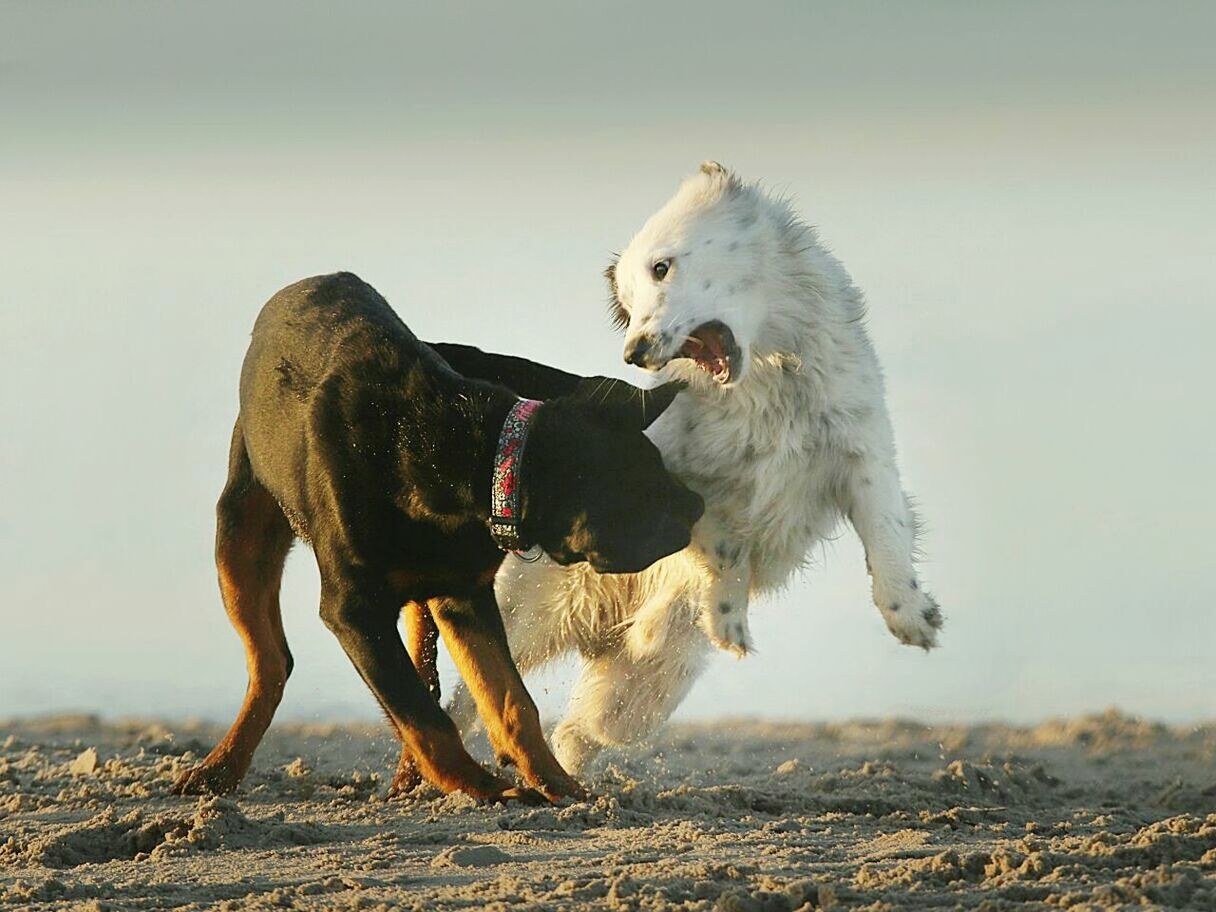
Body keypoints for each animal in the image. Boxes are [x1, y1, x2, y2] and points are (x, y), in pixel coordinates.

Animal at [173, 274, 705, 802]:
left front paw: (557, 785)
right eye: (646, 493)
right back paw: (219, 769)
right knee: (270, 661)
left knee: (421, 665)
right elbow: (424, 719)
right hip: (241, 530)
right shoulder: (354, 610)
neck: (457, 449)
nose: (699, 505)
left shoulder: (464, 593)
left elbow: (510, 700)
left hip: (423, 590)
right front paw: (486, 788)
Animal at [447, 162, 938, 773]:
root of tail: (596, 631)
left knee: (582, 731)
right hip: (528, 616)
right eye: (628, 303)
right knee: (472, 696)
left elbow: (887, 535)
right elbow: (723, 546)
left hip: (641, 697)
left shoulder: (862, 453)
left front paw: (911, 617)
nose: (632, 352)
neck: (770, 379)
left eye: (663, 267)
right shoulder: (685, 479)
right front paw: (728, 617)